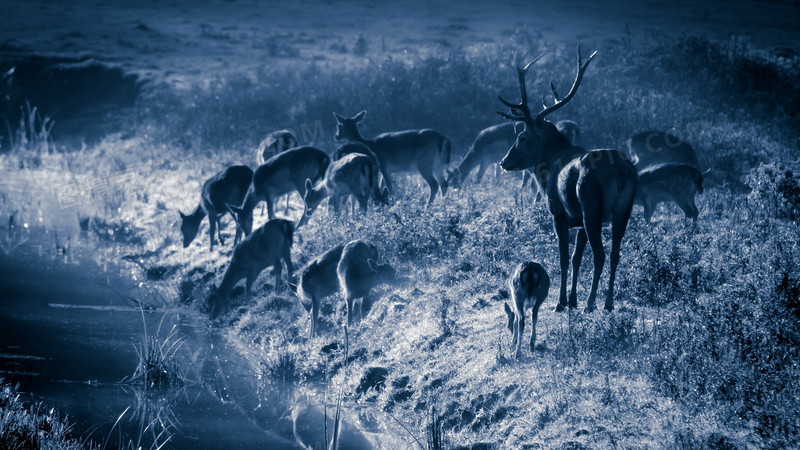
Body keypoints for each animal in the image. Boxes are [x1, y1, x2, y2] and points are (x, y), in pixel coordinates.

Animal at [500, 47, 636, 312]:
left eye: (521, 137)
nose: (504, 161)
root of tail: (621, 171)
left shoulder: (559, 213)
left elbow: (563, 257)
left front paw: (562, 302)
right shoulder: (579, 222)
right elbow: (575, 258)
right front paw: (572, 299)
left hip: (592, 208)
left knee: (600, 254)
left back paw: (591, 303)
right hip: (623, 210)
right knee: (615, 254)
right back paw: (608, 303)